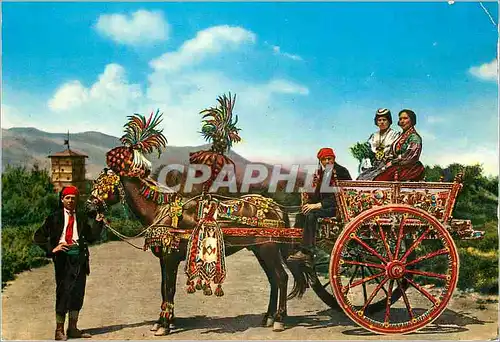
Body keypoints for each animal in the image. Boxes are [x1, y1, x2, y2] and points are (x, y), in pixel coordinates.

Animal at [86, 170, 306, 336]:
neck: (160, 210)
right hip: (260, 251)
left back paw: (279, 320)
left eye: (104, 185)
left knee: (282, 278)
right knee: (274, 281)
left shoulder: (170, 258)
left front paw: (164, 325)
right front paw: (164, 321)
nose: (89, 207)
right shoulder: (165, 260)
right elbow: (164, 288)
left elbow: (168, 289)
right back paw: (268, 318)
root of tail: (275, 207)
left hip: (268, 251)